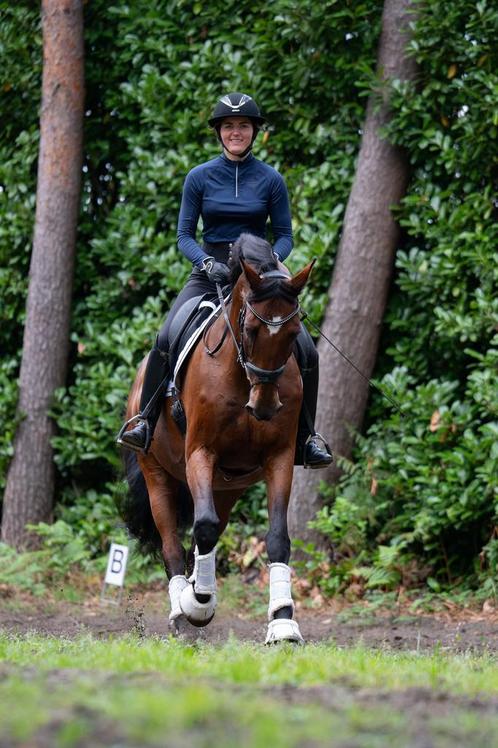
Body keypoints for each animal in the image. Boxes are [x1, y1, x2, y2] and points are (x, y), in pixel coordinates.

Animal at [121, 234, 314, 644]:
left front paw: (282, 623)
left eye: (293, 334)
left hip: (229, 485)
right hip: (157, 472)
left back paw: (199, 587)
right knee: (173, 542)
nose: (265, 406)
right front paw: (197, 605)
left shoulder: (279, 457)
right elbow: (202, 527)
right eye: (252, 329)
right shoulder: (200, 453)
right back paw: (183, 607)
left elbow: (277, 537)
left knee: (206, 530)